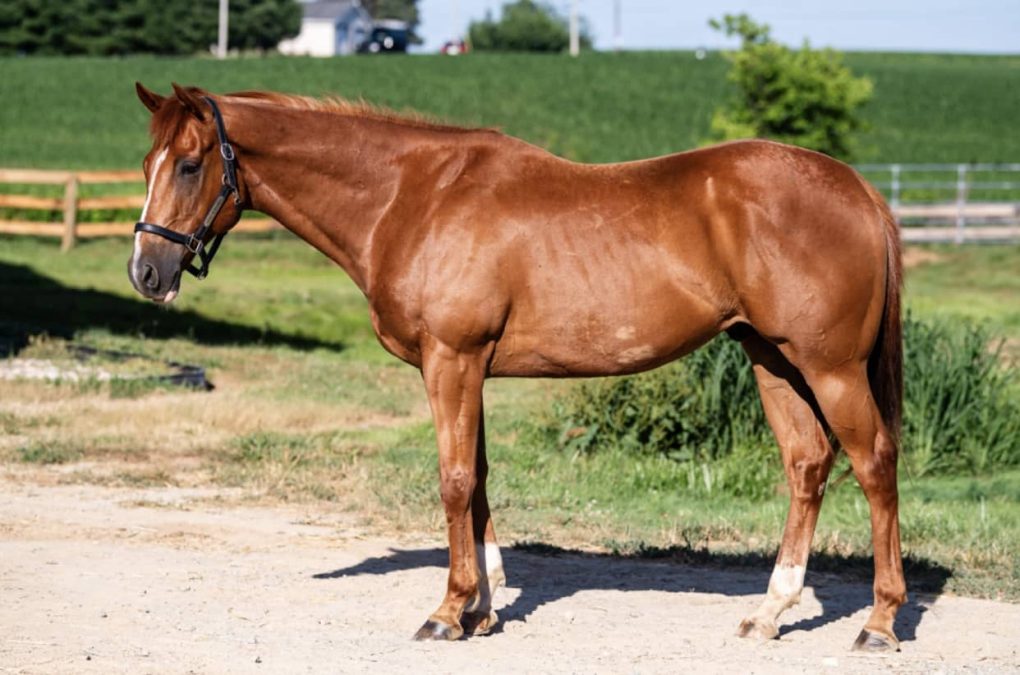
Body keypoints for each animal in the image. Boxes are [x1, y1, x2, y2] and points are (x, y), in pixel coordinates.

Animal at [128, 83, 905, 652]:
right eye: (146, 167)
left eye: (191, 164)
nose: (146, 272)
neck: (413, 196)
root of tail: (858, 189)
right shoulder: (465, 368)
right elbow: (477, 481)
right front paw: (483, 607)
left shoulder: (452, 360)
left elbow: (453, 481)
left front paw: (446, 612)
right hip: (771, 358)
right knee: (807, 464)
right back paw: (770, 612)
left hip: (831, 368)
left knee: (874, 463)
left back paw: (879, 621)